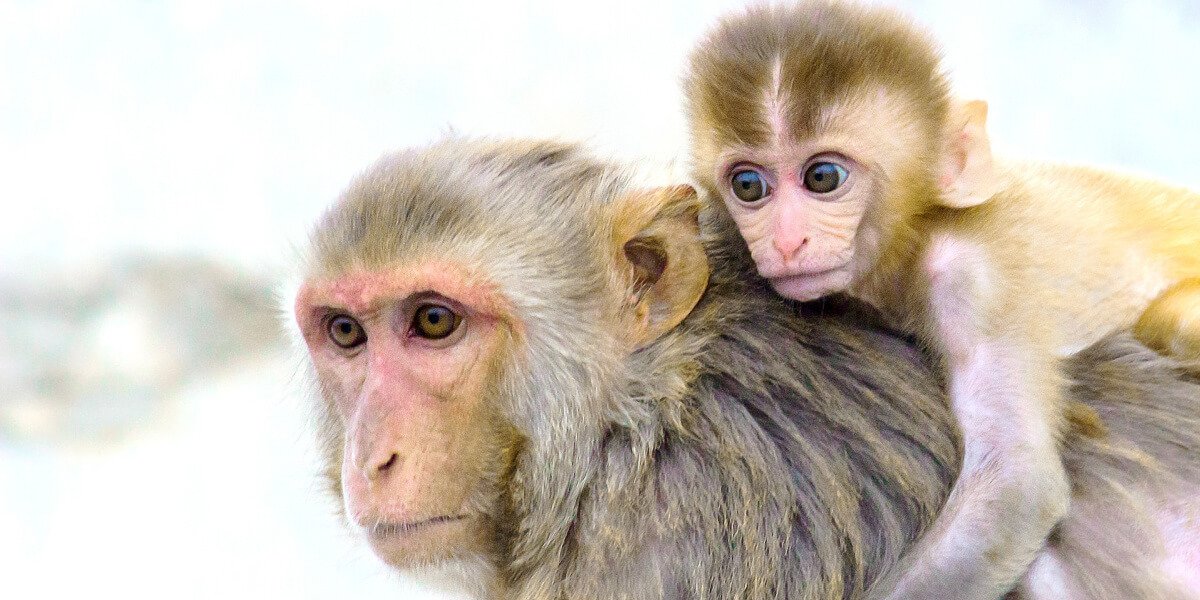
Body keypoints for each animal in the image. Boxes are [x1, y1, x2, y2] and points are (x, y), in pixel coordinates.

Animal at [682, 3, 1200, 599]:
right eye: (748, 186)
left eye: (823, 177)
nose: (788, 242)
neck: (915, 236)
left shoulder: (972, 279)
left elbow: (1014, 482)